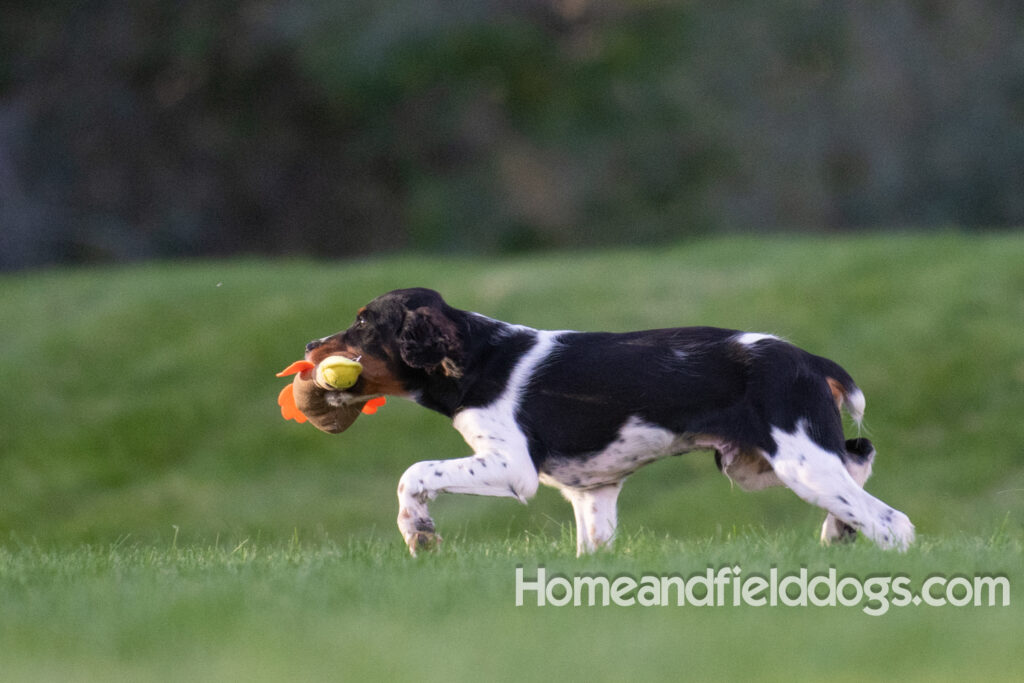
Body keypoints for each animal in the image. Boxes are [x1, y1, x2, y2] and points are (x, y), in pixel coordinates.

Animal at [301, 286, 913, 557]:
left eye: (363, 324)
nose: (309, 345)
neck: (478, 357)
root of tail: (810, 359)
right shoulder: (592, 493)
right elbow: (591, 548)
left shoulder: (511, 467)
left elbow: (414, 473)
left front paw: (418, 530)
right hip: (756, 463)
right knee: (860, 458)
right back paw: (837, 532)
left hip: (799, 461)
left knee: (893, 520)